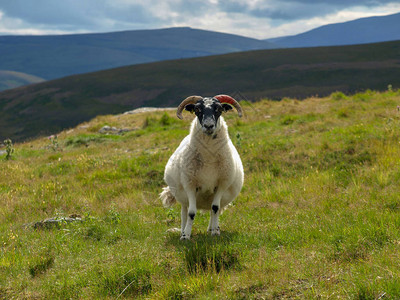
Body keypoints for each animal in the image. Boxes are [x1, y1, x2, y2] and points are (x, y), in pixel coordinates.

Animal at [160, 95, 244, 240]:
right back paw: (183, 230)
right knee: (184, 211)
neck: (209, 158)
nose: (208, 126)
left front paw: (215, 232)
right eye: (197, 109)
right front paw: (186, 236)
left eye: (219, 109)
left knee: (213, 210)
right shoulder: (190, 184)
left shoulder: (221, 184)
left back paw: (212, 228)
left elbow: (215, 208)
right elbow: (191, 212)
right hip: (182, 196)